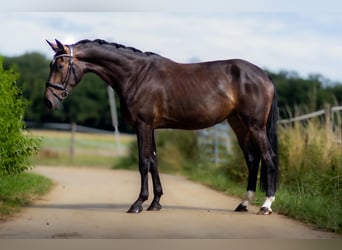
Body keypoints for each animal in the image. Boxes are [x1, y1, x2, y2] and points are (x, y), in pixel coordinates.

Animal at [44, 39, 278, 215]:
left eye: (60, 66)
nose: (48, 101)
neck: (136, 75)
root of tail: (264, 76)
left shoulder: (143, 124)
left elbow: (143, 162)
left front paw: (138, 203)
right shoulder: (151, 127)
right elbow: (154, 161)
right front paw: (155, 203)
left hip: (255, 126)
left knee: (268, 158)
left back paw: (266, 205)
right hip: (239, 125)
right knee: (252, 160)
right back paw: (243, 204)